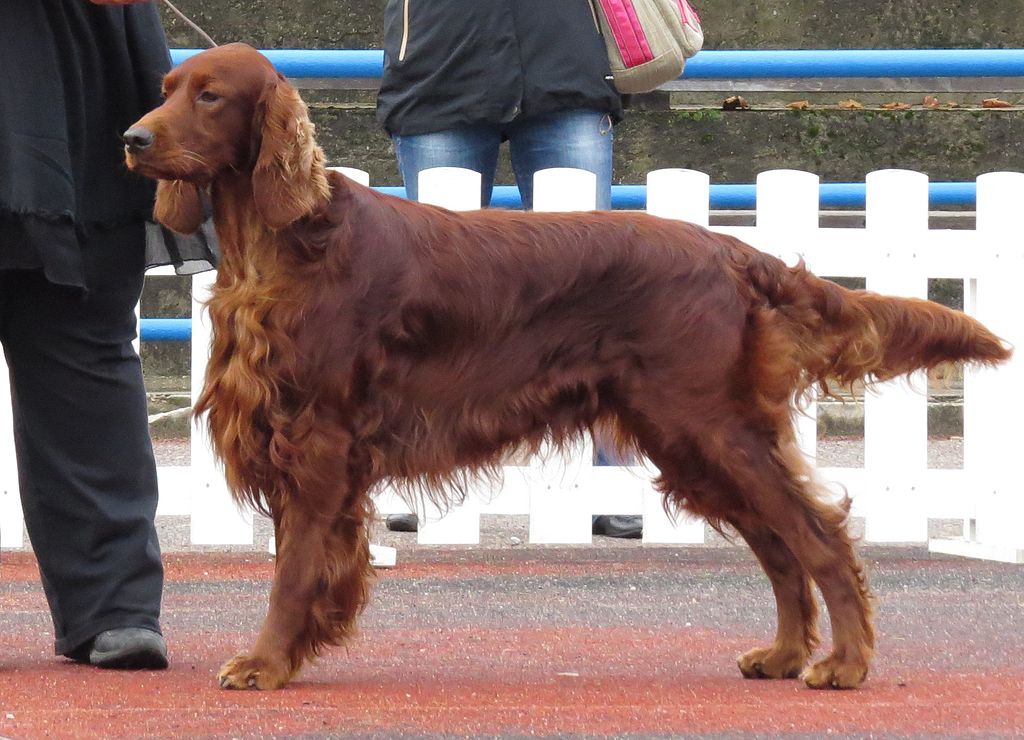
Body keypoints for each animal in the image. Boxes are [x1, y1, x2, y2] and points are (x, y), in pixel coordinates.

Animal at [125, 43, 1007, 691]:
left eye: (211, 95)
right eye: (166, 88)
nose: (132, 139)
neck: (283, 245)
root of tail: (732, 252)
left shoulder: (318, 439)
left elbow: (294, 567)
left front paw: (267, 662)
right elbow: (302, 563)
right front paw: (293, 651)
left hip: (709, 425)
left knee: (816, 536)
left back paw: (845, 663)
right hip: (688, 439)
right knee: (780, 545)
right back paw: (786, 655)